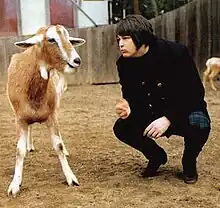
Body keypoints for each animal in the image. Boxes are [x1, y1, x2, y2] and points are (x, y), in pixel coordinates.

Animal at [6, 24, 85, 197]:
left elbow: (58, 145)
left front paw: (71, 178)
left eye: (68, 39)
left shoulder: (51, 115)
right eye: (51, 39)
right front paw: (15, 185)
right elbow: (19, 150)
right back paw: (30, 146)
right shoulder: (20, 119)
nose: (76, 60)